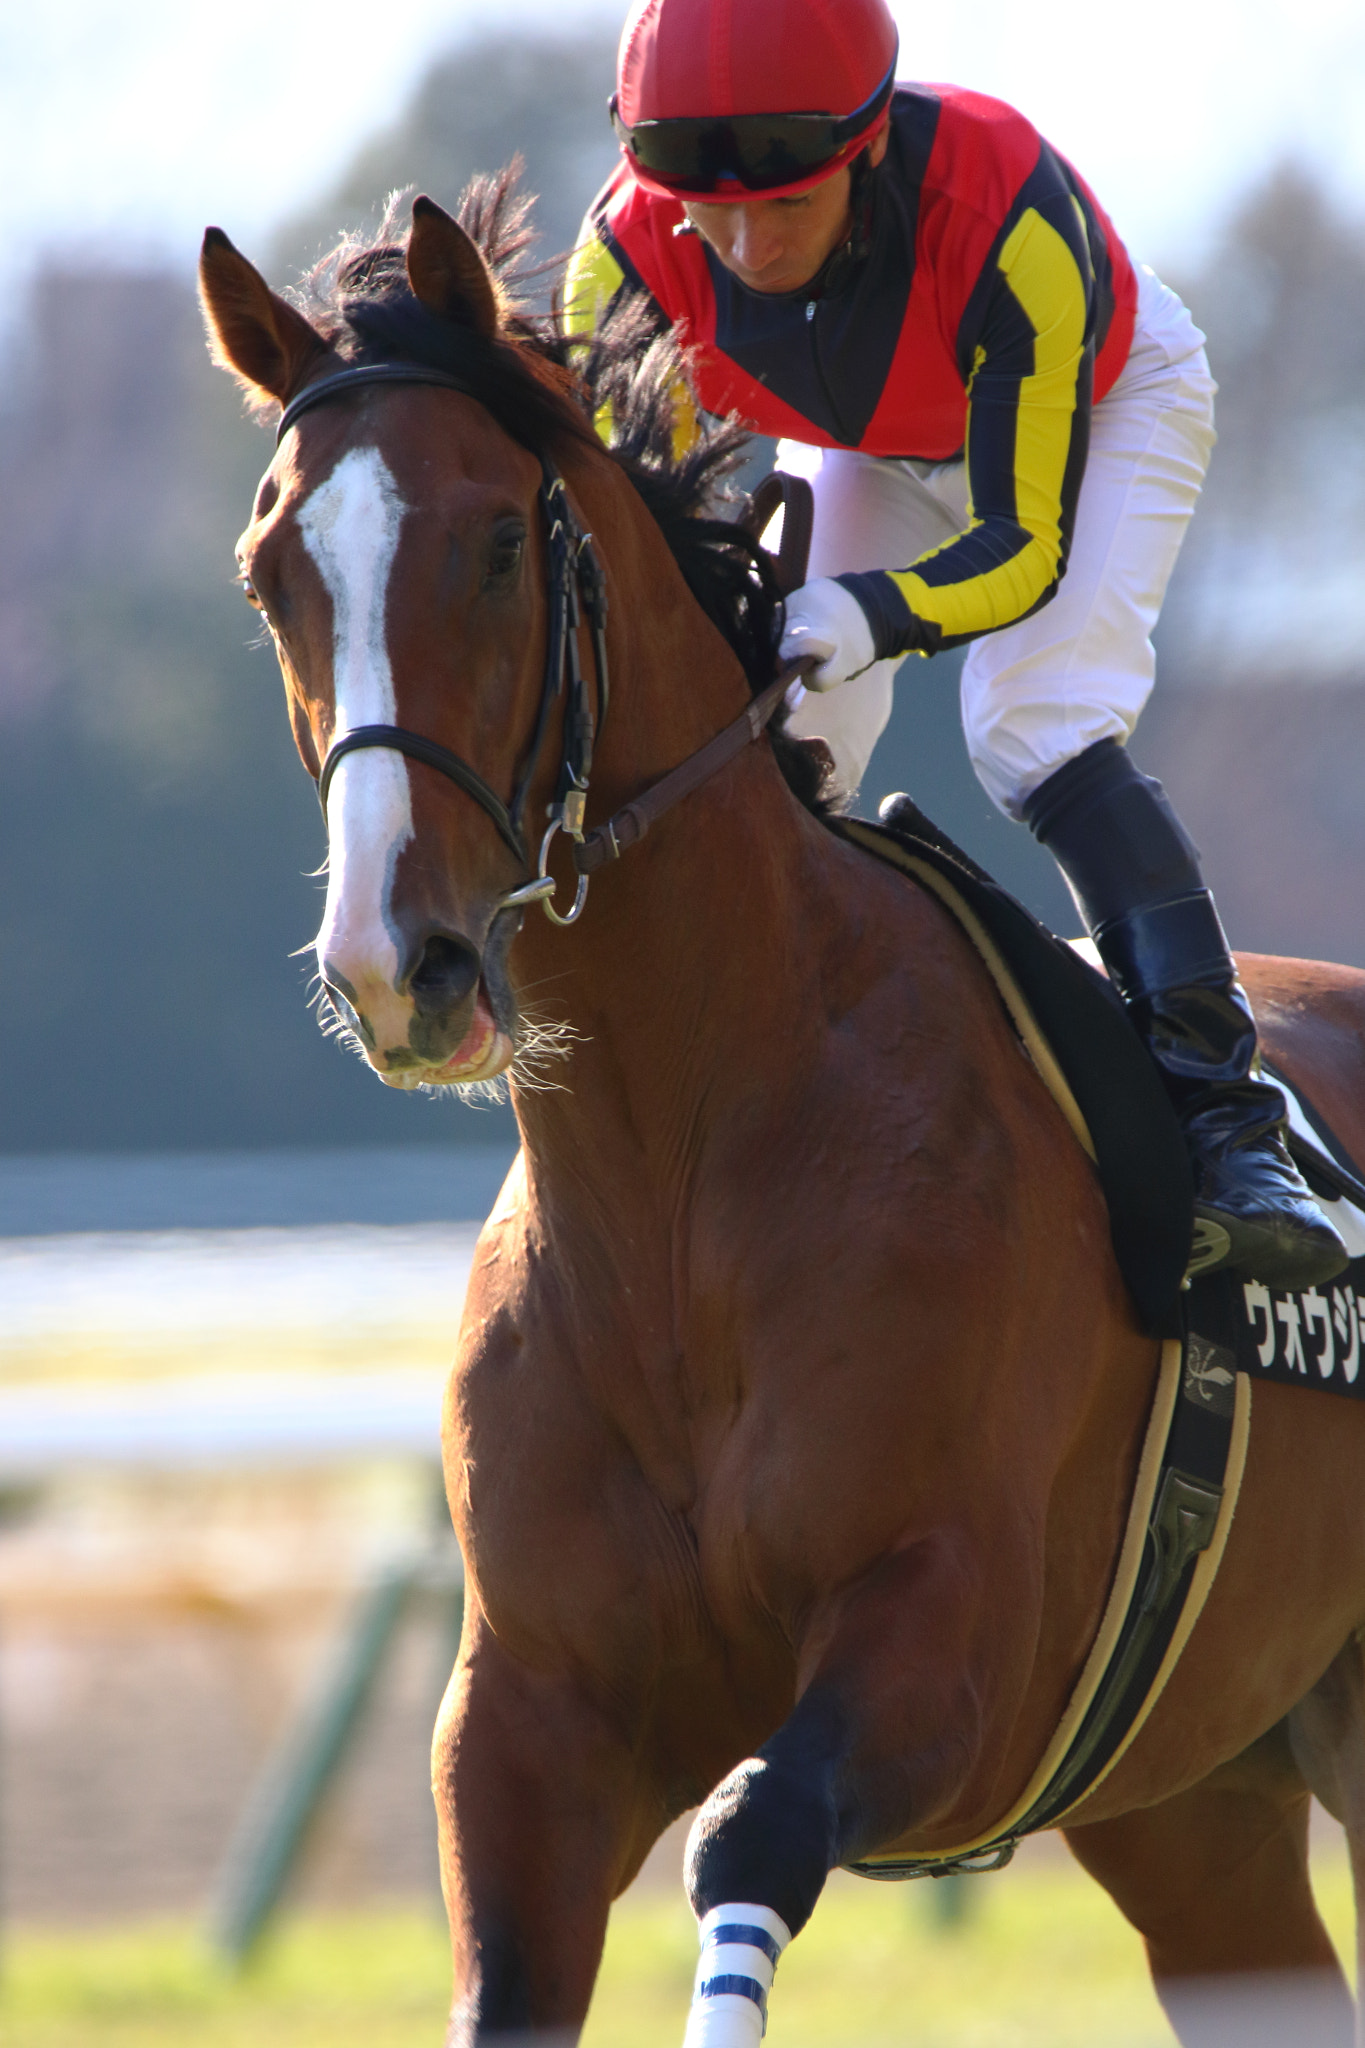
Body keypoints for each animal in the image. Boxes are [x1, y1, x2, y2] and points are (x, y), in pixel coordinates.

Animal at [199, 179, 1365, 2047]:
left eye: (499, 543)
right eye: (270, 575)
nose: (398, 962)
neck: (683, 1162)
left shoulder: (947, 1642)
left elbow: (748, 1835)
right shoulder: (528, 1722)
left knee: (1048, 724)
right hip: (1200, 1802)